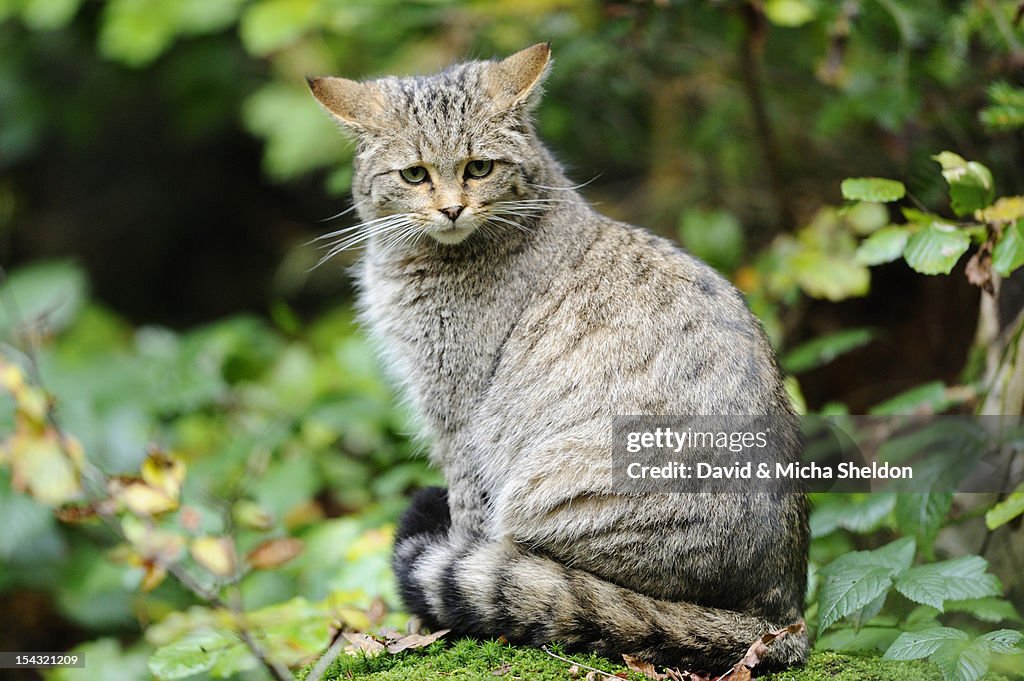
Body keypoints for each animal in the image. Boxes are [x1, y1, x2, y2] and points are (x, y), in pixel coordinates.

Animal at [307, 43, 802, 675]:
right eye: (415, 174)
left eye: (479, 168)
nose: (451, 210)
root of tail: (780, 613)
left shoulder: (459, 415)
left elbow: (464, 515)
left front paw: (431, 627)